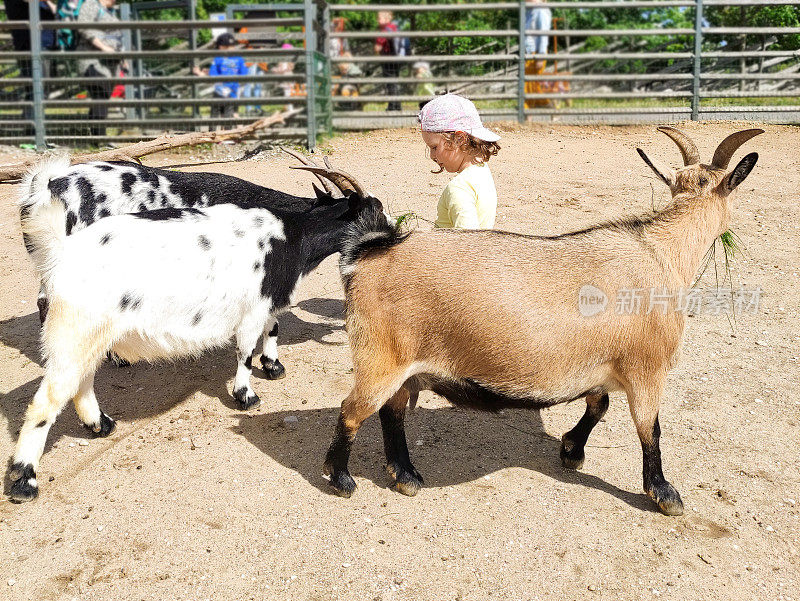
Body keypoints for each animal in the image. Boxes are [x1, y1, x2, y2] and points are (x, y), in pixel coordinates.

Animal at [324, 126, 764, 516]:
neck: (661, 253)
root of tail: (368, 254)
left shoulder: (598, 365)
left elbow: (599, 403)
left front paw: (572, 449)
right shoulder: (647, 368)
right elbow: (649, 429)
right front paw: (664, 493)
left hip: (402, 366)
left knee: (391, 411)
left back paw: (405, 475)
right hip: (380, 357)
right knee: (352, 409)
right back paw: (341, 478)